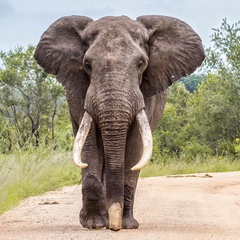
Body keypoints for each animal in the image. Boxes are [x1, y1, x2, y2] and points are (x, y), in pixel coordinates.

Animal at [34, 14, 204, 231]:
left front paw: (126, 224)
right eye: (87, 64)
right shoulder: (82, 93)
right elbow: (90, 145)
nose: (115, 226)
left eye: (141, 64)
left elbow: (134, 147)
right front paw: (94, 223)